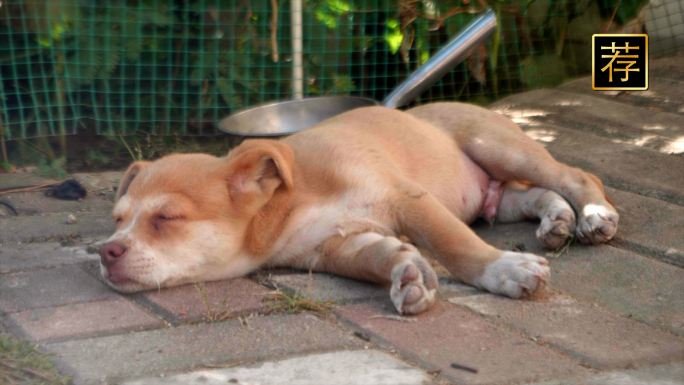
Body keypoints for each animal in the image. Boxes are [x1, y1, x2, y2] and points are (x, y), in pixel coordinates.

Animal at [99, 103, 616, 314]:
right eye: (118, 221)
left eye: (166, 218)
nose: (106, 252)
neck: (291, 205)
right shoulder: (337, 248)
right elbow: (380, 257)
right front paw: (409, 278)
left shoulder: (408, 199)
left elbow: (455, 244)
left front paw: (504, 271)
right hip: (492, 197)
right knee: (528, 195)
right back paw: (556, 220)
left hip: (497, 146)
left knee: (574, 177)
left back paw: (592, 213)